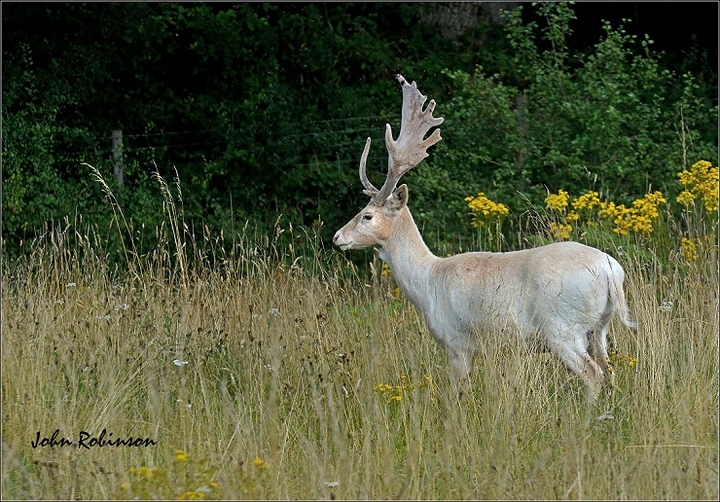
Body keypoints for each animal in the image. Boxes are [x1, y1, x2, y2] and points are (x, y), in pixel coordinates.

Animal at [333, 74, 637, 402]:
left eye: (367, 215)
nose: (337, 237)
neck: (427, 283)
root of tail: (610, 271)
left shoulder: (457, 342)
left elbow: (459, 392)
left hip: (563, 327)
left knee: (592, 374)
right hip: (599, 327)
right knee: (609, 371)